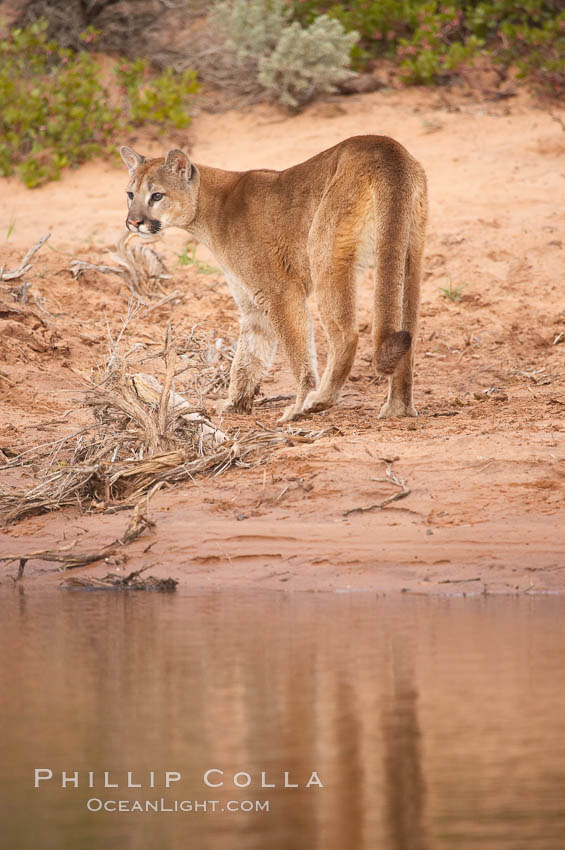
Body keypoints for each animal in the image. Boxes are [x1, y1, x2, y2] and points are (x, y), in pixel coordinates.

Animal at [120, 137, 428, 424]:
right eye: (130, 194)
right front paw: (233, 404)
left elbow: (297, 351)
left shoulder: (279, 292)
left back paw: (319, 400)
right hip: (408, 253)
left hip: (324, 252)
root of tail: (387, 148)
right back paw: (398, 408)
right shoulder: (253, 305)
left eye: (157, 195)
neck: (208, 208)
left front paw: (298, 404)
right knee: (409, 334)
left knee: (346, 335)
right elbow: (247, 357)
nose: (133, 222)